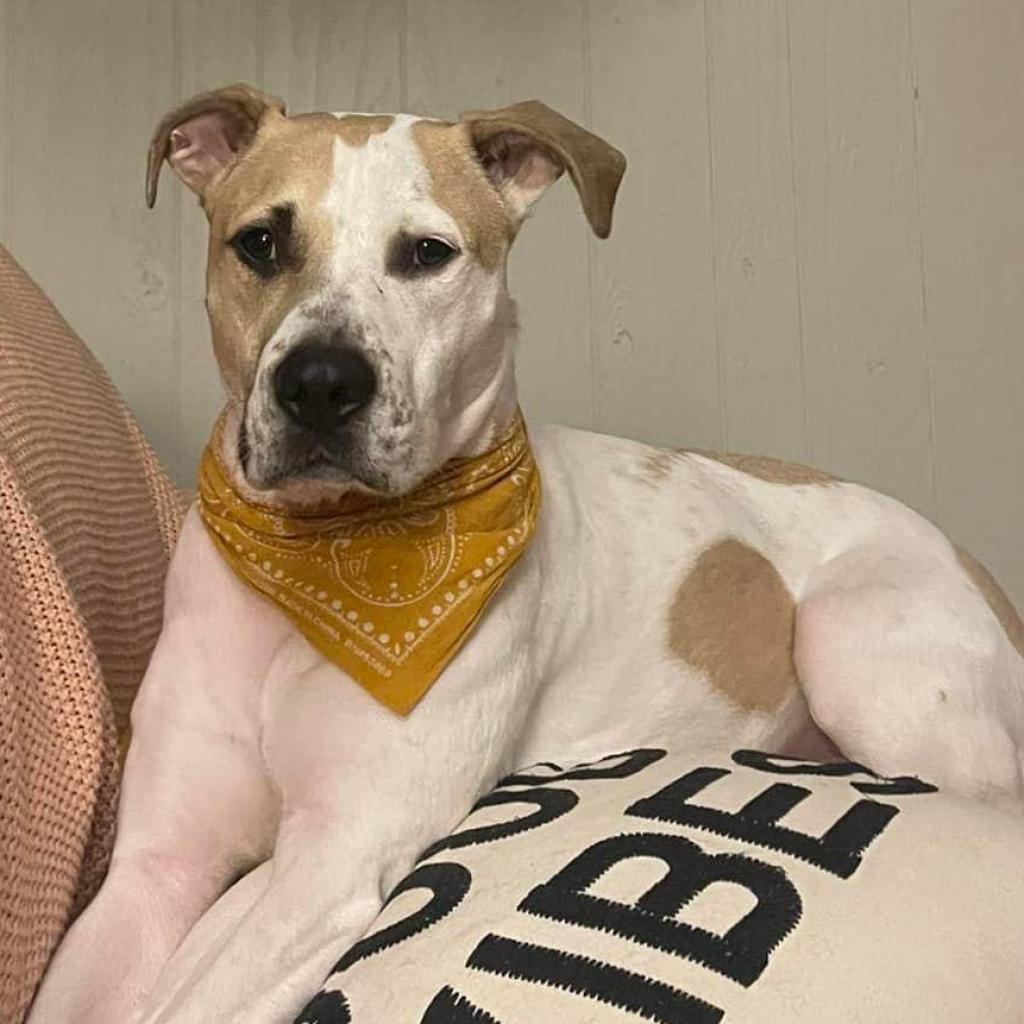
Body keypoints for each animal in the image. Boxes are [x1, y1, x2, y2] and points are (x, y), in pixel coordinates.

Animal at [25, 86, 1024, 1024]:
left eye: (426, 253)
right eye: (262, 243)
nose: (320, 384)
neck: (325, 560)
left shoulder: (337, 858)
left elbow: (200, 987)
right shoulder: (152, 871)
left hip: (855, 649)